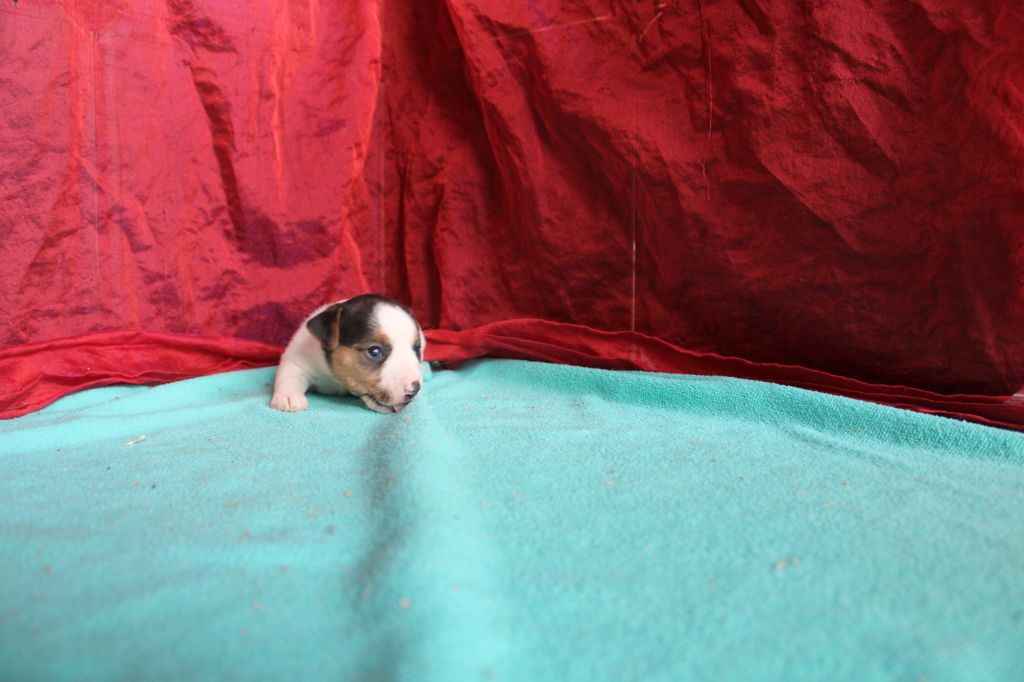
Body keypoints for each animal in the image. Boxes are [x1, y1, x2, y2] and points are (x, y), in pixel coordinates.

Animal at [271, 294, 424, 414]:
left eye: (417, 349)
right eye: (374, 351)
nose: (415, 389)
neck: (337, 380)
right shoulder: (295, 360)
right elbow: (289, 376)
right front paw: (288, 396)